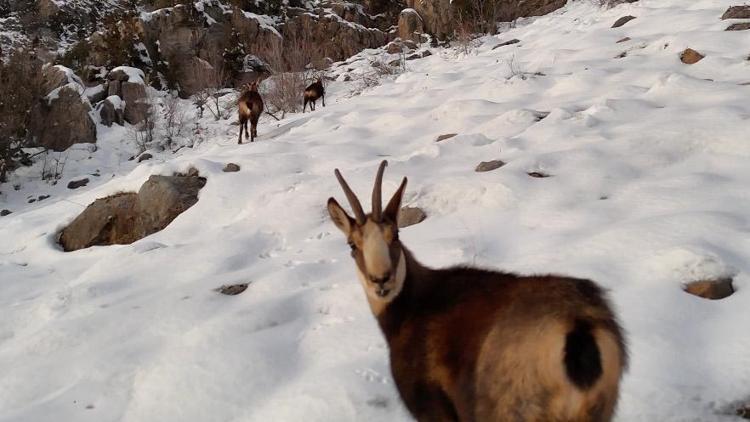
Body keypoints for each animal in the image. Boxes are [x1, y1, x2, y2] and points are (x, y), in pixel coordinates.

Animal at [328, 160, 628, 420]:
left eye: (396, 236)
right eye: (352, 244)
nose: (381, 279)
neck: (411, 308)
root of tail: (578, 331)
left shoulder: (434, 409)